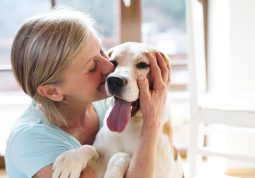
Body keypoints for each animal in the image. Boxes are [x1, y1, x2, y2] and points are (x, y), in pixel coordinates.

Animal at [52, 42, 183, 178]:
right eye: (113, 62)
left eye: (142, 65)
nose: (114, 80)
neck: (129, 126)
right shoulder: (99, 166)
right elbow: (89, 148)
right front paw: (71, 160)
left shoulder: (159, 171)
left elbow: (120, 155)